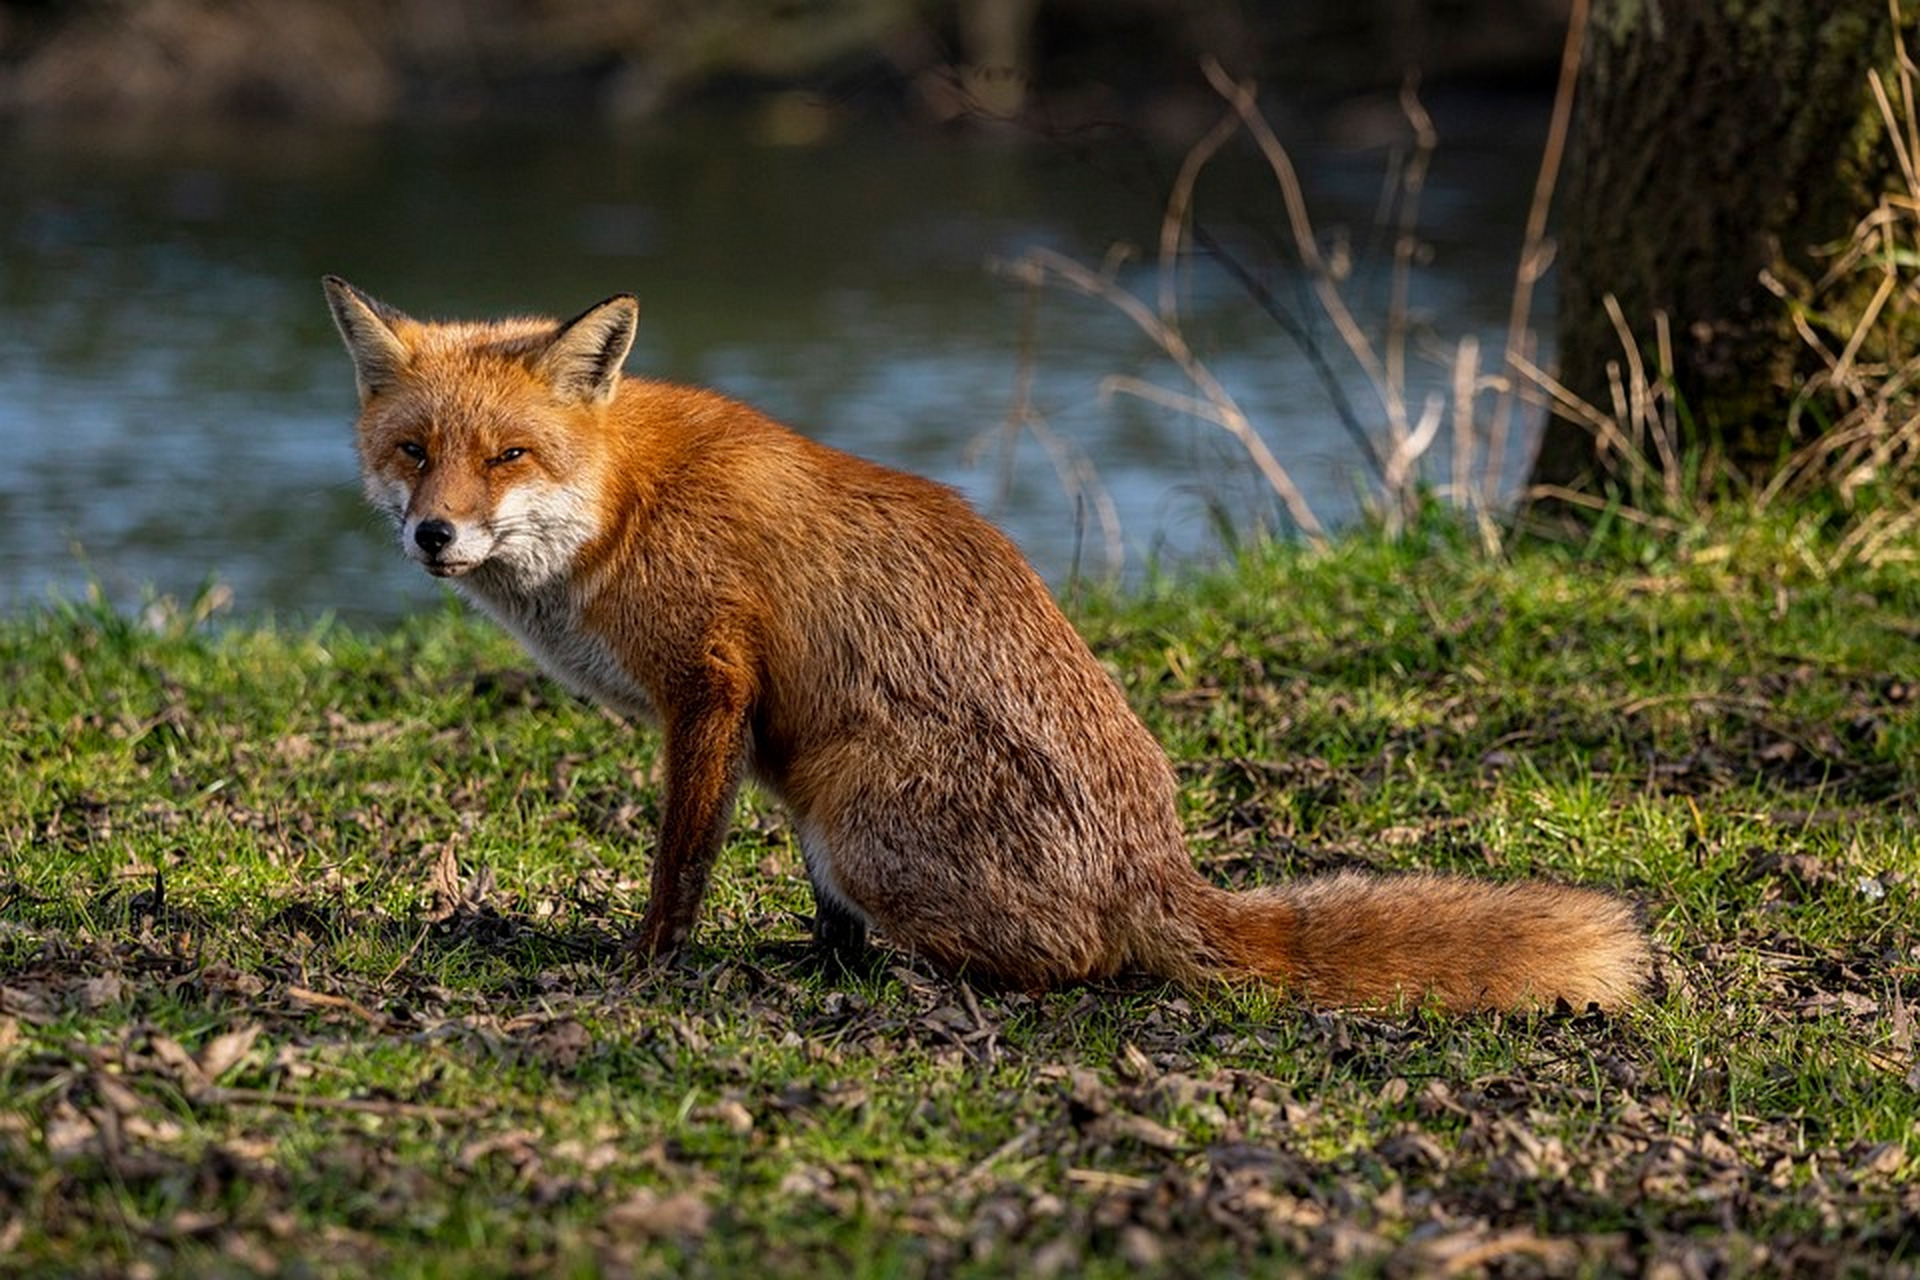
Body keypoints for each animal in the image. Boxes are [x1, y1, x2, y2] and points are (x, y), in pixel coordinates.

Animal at [322, 278, 1643, 1013]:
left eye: (509, 456)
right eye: (413, 451)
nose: (436, 532)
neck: (627, 504)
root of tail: (1158, 866)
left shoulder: (710, 685)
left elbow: (678, 864)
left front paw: (647, 965)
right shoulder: (740, 725)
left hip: (855, 811)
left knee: (1075, 963)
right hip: (818, 801)